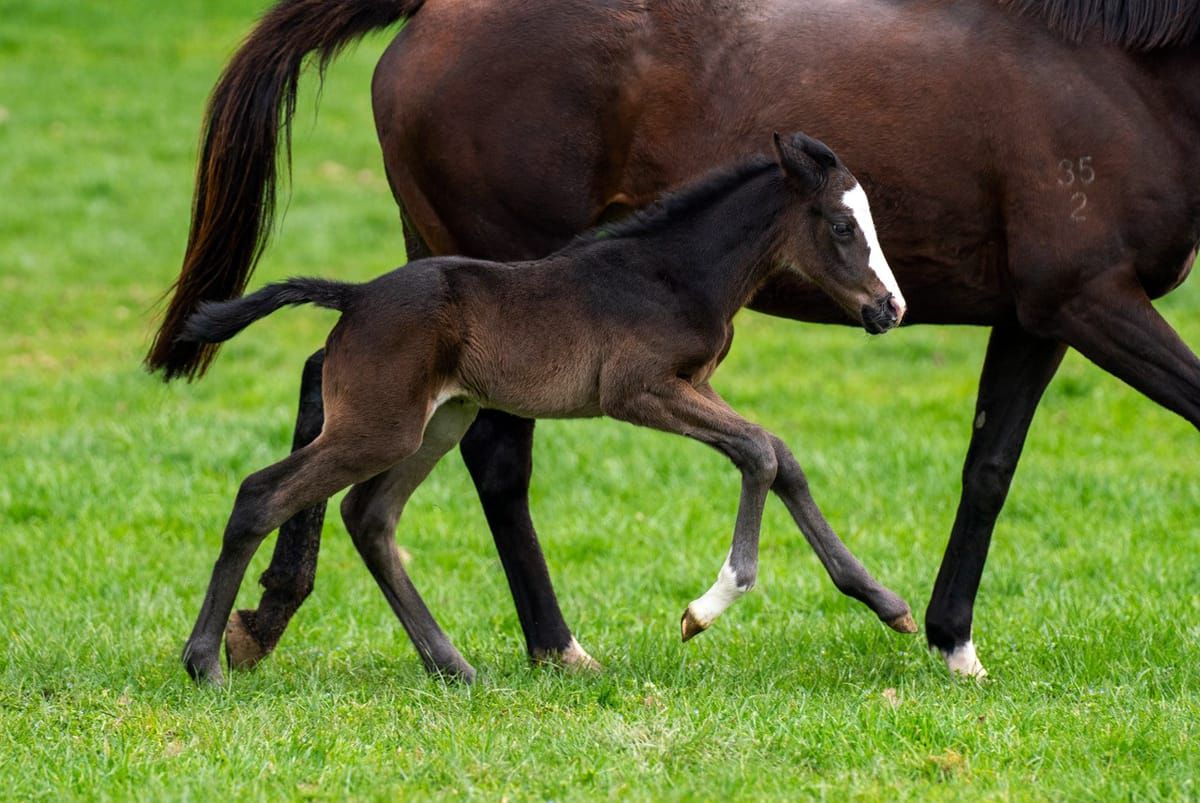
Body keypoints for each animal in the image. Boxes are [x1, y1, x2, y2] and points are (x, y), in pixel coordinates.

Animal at [174, 134, 916, 684]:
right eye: (842, 226)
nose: (891, 308)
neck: (675, 272)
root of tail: (353, 297)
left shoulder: (693, 386)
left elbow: (780, 455)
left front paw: (888, 604)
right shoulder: (639, 391)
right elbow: (759, 452)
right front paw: (706, 608)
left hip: (439, 420)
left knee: (370, 515)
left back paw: (453, 666)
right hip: (378, 427)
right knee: (261, 494)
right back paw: (205, 662)